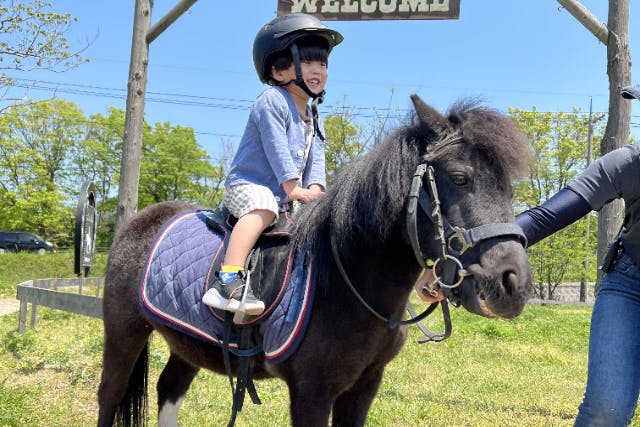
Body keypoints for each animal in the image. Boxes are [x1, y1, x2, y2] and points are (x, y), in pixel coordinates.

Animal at [97, 95, 532, 426]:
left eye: (509, 188)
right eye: (459, 177)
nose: (514, 282)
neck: (345, 281)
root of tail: (142, 220)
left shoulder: (364, 386)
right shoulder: (312, 390)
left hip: (187, 341)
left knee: (169, 389)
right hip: (124, 330)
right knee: (110, 394)